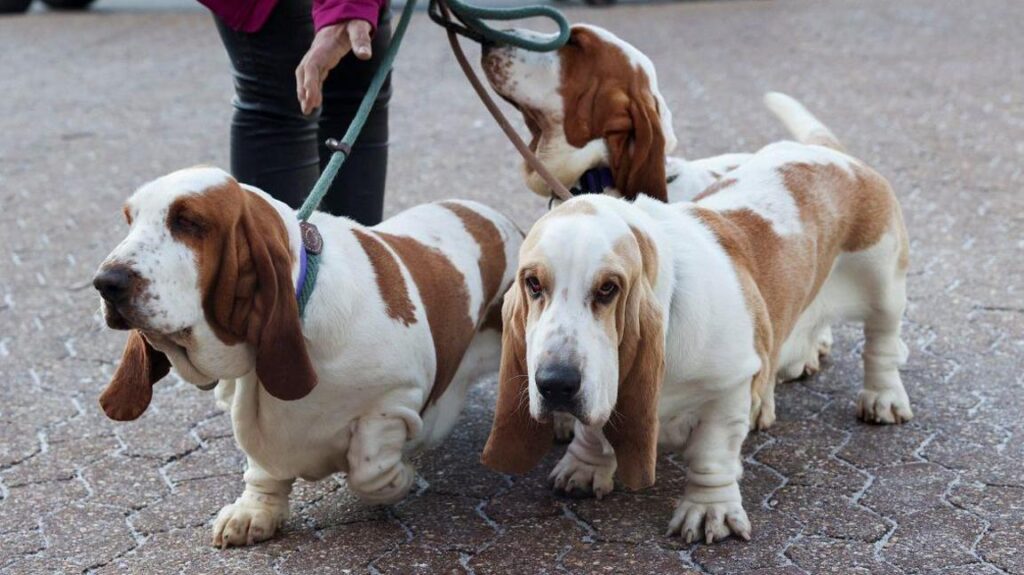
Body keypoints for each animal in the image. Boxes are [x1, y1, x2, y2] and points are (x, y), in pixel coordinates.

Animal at [479, 94, 913, 540]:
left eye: (608, 289)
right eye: (533, 283)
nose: (555, 384)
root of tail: (831, 154)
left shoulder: (727, 386)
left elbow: (711, 453)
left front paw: (709, 511)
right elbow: (594, 429)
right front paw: (583, 467)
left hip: (882, 279)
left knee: (882, 343)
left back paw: (883, 398)